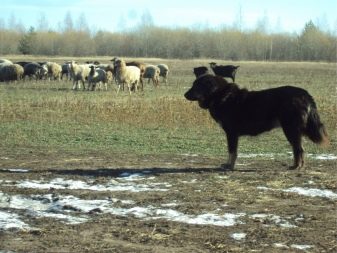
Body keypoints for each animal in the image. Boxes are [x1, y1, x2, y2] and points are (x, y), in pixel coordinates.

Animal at [184, 74, 328, 171]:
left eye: (197, 86)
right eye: (193, 84)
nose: (185, 94)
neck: (221, 95)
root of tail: (304, 94)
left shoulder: (231, 133)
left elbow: (232, 151)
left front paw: (230, 166)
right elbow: (231, 152)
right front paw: (228, 165)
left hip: (290, 129)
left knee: (298, 149)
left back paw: (296, 166)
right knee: (299, 149)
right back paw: (298, 166)